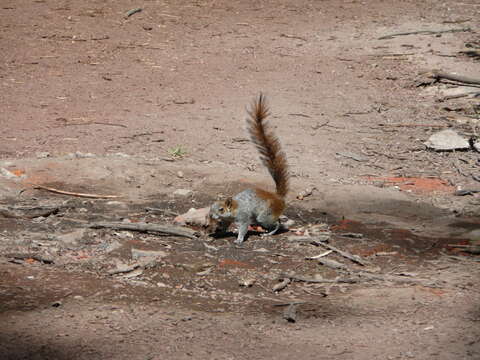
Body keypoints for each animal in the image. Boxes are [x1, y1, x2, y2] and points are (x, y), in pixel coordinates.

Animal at [207, 93, 288, 245]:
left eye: (221, 209)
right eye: (211, 207)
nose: (211, 215)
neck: (234, 208)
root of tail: (278, 197)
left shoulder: (243, 217)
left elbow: (244, 228)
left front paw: (239, 239)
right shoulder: (227, 220)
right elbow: (225, 226)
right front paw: (219, 232)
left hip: (264, 216)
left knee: (277, 224)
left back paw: (269, 233)